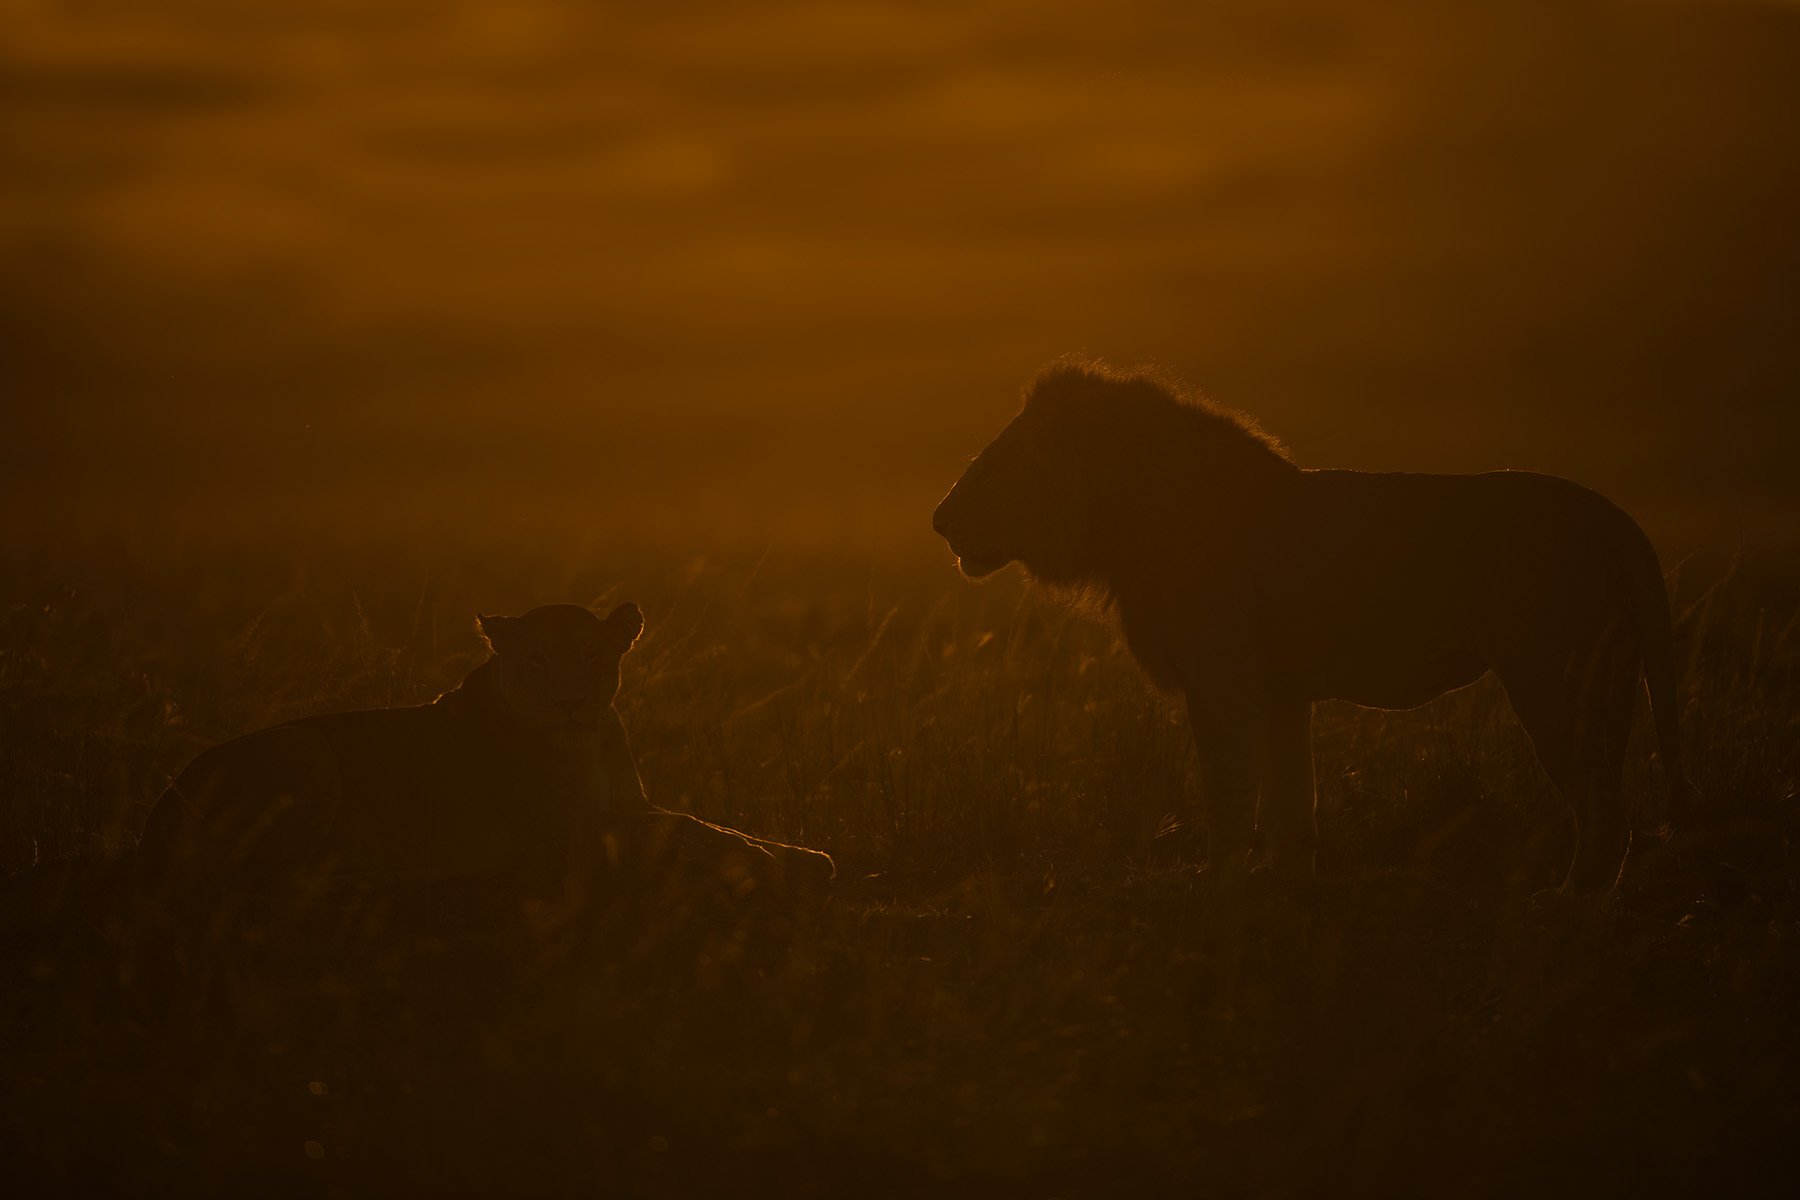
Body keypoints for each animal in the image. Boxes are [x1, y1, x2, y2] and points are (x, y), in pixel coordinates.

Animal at [136, 600, 831, 910]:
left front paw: (800, 857)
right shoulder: (567, 834)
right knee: (272, 885)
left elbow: (704, 822)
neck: (588, 741)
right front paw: (779, 865)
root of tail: (157, 815)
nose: (571, 701)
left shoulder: (624, 807)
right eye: (537, 661)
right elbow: (686, 825)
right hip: (306, 752)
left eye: (591, 657)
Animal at [936, 361, 1692, 895]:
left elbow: (1229, 799)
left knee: (1605, 816)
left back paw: (1565, 907)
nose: (939, 519)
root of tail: (1613, 517)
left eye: (995, 466)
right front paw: (1287, 893)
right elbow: (1293, 806)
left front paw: (1216, 893)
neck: (1118, 523)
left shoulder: (1223, 685)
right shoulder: (1279, 696)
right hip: (1606, 684)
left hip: (1553, 684)